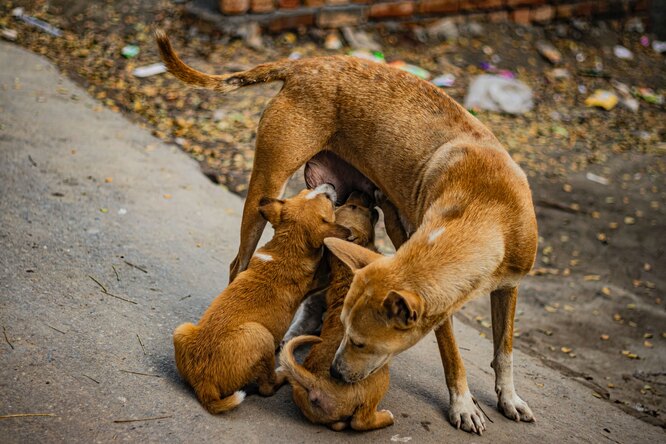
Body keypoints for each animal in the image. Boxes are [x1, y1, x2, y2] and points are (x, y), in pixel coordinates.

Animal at [171, 186, 350, 414]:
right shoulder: (321, 279)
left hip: (181, 330)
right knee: (267, 387)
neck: (286, 247)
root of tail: (204, 384)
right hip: (261, 335)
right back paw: (282, 374)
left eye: (305, 190)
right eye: (327, 199)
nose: (330, 186)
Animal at [278, 191, 392, 430]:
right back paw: (385, 417)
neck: (344, 271)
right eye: (353, 207)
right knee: (361, 421)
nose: (360, 192)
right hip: (378, 377)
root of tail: (316, 383)